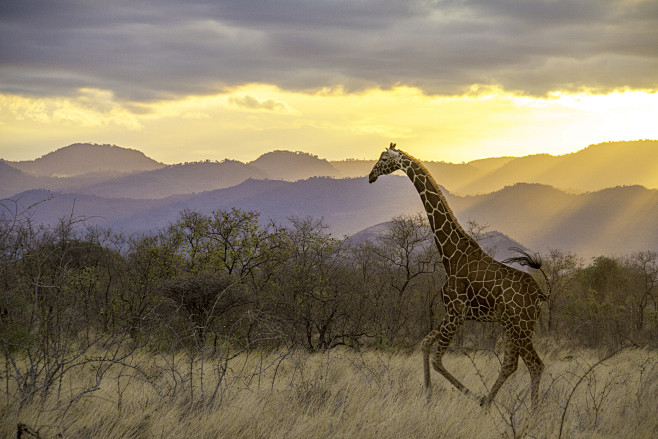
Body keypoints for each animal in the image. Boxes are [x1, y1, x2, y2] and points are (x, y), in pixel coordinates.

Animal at [368, 144, 544, 410]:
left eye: (384, 158)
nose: (370, 176)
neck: (450, 255)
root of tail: (539, 295)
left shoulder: (455, 313)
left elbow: (438, 360)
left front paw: (469, 395)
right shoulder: (450, 312)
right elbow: (424, 344)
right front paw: (428, 397)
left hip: (521, 325)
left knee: (535, 364)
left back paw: (529, 413)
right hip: (511, 325)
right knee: (511, 364)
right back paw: (491, 404)